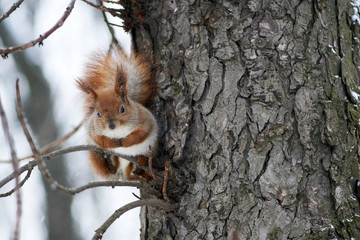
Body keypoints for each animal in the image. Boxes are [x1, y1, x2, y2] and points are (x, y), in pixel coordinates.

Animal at [77, 44, 158, 180]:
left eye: (122, 109)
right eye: (98, 114)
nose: (111, 126)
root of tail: (121, 171)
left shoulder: (145, 119)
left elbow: (141, 134)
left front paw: (125, 142)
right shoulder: (93, 128)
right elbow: (99, 139)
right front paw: (112, 143)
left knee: (131, 173)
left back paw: (140, 164)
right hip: (107, 156)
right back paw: (111, 166)